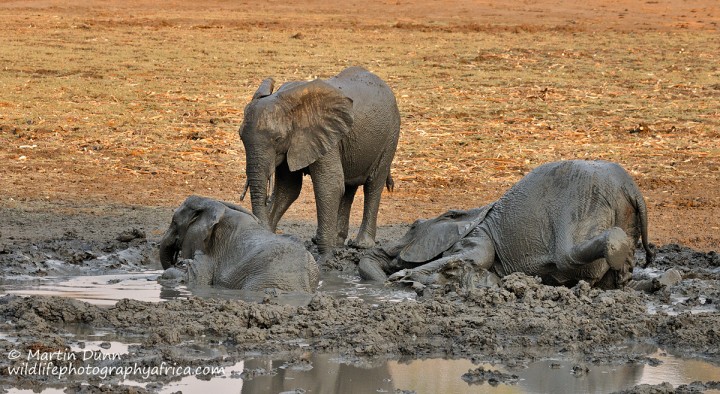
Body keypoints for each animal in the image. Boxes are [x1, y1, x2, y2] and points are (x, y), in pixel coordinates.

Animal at [240, 66, 400, 258]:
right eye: (240, 137)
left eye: (278, 139)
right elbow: (289, 188)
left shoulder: (325, 136)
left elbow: (328, 185)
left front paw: (325, 257)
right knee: (348, 186)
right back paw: (337, 242)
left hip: (390, 135)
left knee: (373, 184)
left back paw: (361, 245)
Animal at [358, 159, 656, 290]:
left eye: (412, 226)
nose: (386, 279)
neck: (470, 212)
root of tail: (632, 188)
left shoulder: (478, 236)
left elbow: (476, 257)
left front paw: (402, 277)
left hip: (584, 203)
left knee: (566, 255)